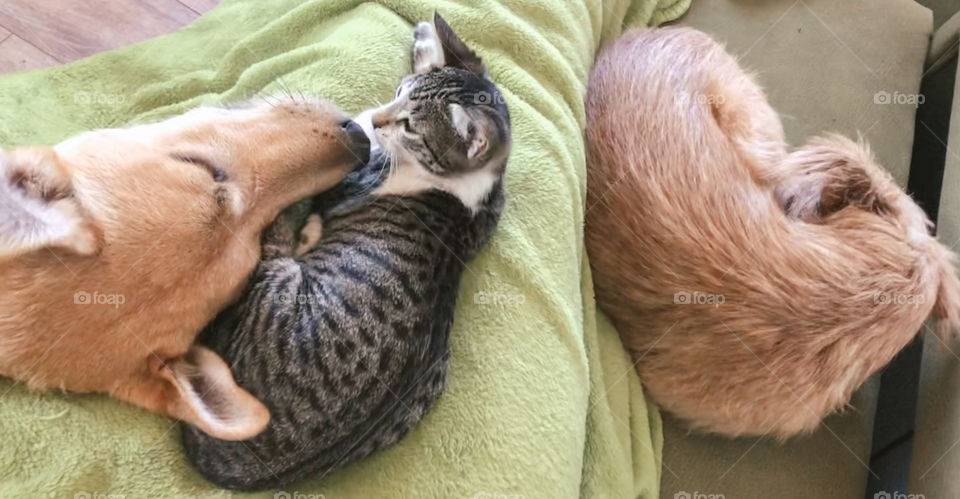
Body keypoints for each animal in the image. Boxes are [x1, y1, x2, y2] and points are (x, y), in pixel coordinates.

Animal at [179, 13, 510, 490]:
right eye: (398, 92)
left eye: (411, 125)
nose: (377, 117)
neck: (465, 187)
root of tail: (239, 465)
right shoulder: (494, 207)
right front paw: (428, 41)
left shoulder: (353, 176)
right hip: (432, 384)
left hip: (275, 285)